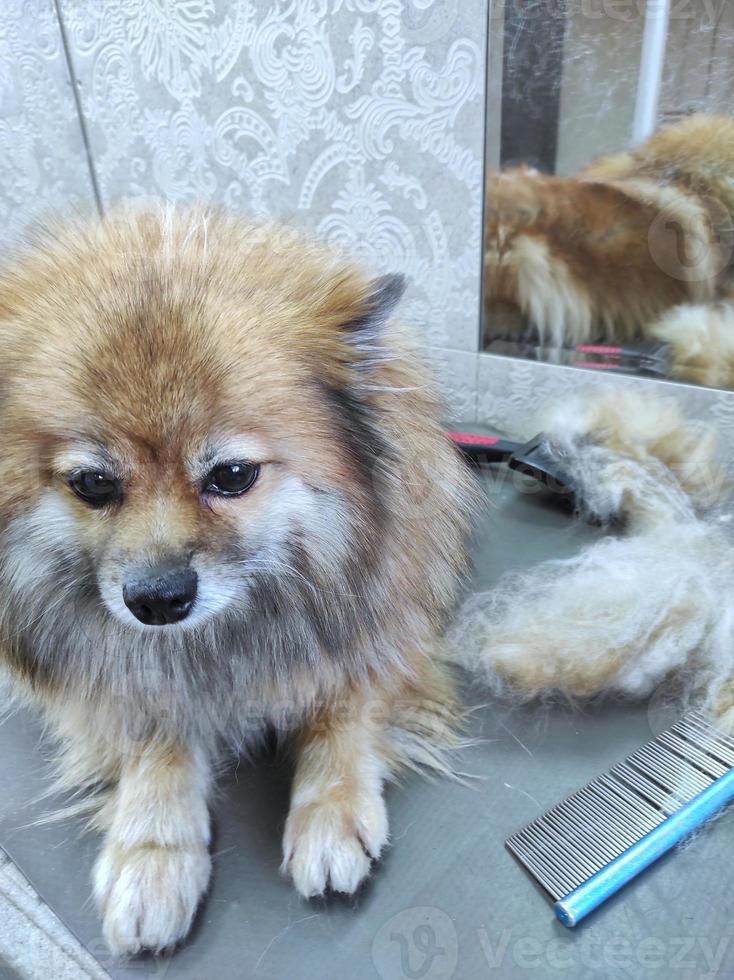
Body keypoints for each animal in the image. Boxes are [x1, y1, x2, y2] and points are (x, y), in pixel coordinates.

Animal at [0, 209, 478, 956]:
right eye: (93, 484)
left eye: (231, 476)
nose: (157, 600)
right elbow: (155, 732)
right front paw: (152, 850)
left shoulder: (387, 634)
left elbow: (345, 706)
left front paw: (330, 809)